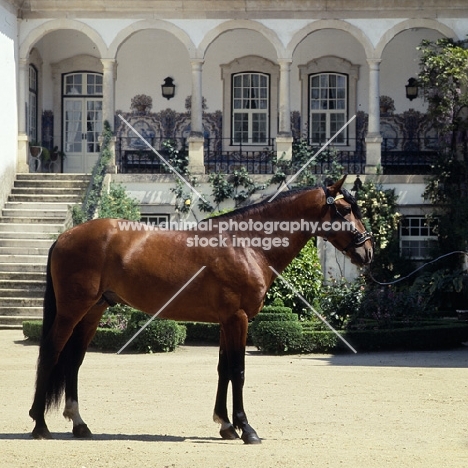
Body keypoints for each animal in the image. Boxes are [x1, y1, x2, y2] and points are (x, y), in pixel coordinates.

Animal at [29, 176, 372, 442]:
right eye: (344, 210)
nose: (367, 251)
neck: (247, 244)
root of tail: (64, 236)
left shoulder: (225, 321)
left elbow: (223, 369)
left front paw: (225, 425)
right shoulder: (238, 319)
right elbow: (238, 371)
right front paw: (246, 429)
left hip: (94, 312)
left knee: (73, 360)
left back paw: (79, 424)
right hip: (72, 311)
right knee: (51, 353)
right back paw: (40, 424)